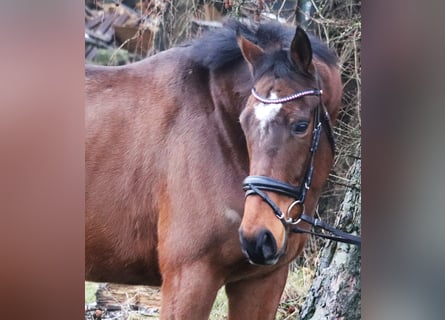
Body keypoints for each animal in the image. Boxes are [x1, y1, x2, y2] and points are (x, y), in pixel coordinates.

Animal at [85, 18, 342, 318]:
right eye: (244, 122)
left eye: (301, 125)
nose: (258, 238)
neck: (220, 132)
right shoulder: (188, 278)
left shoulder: (262, 281)